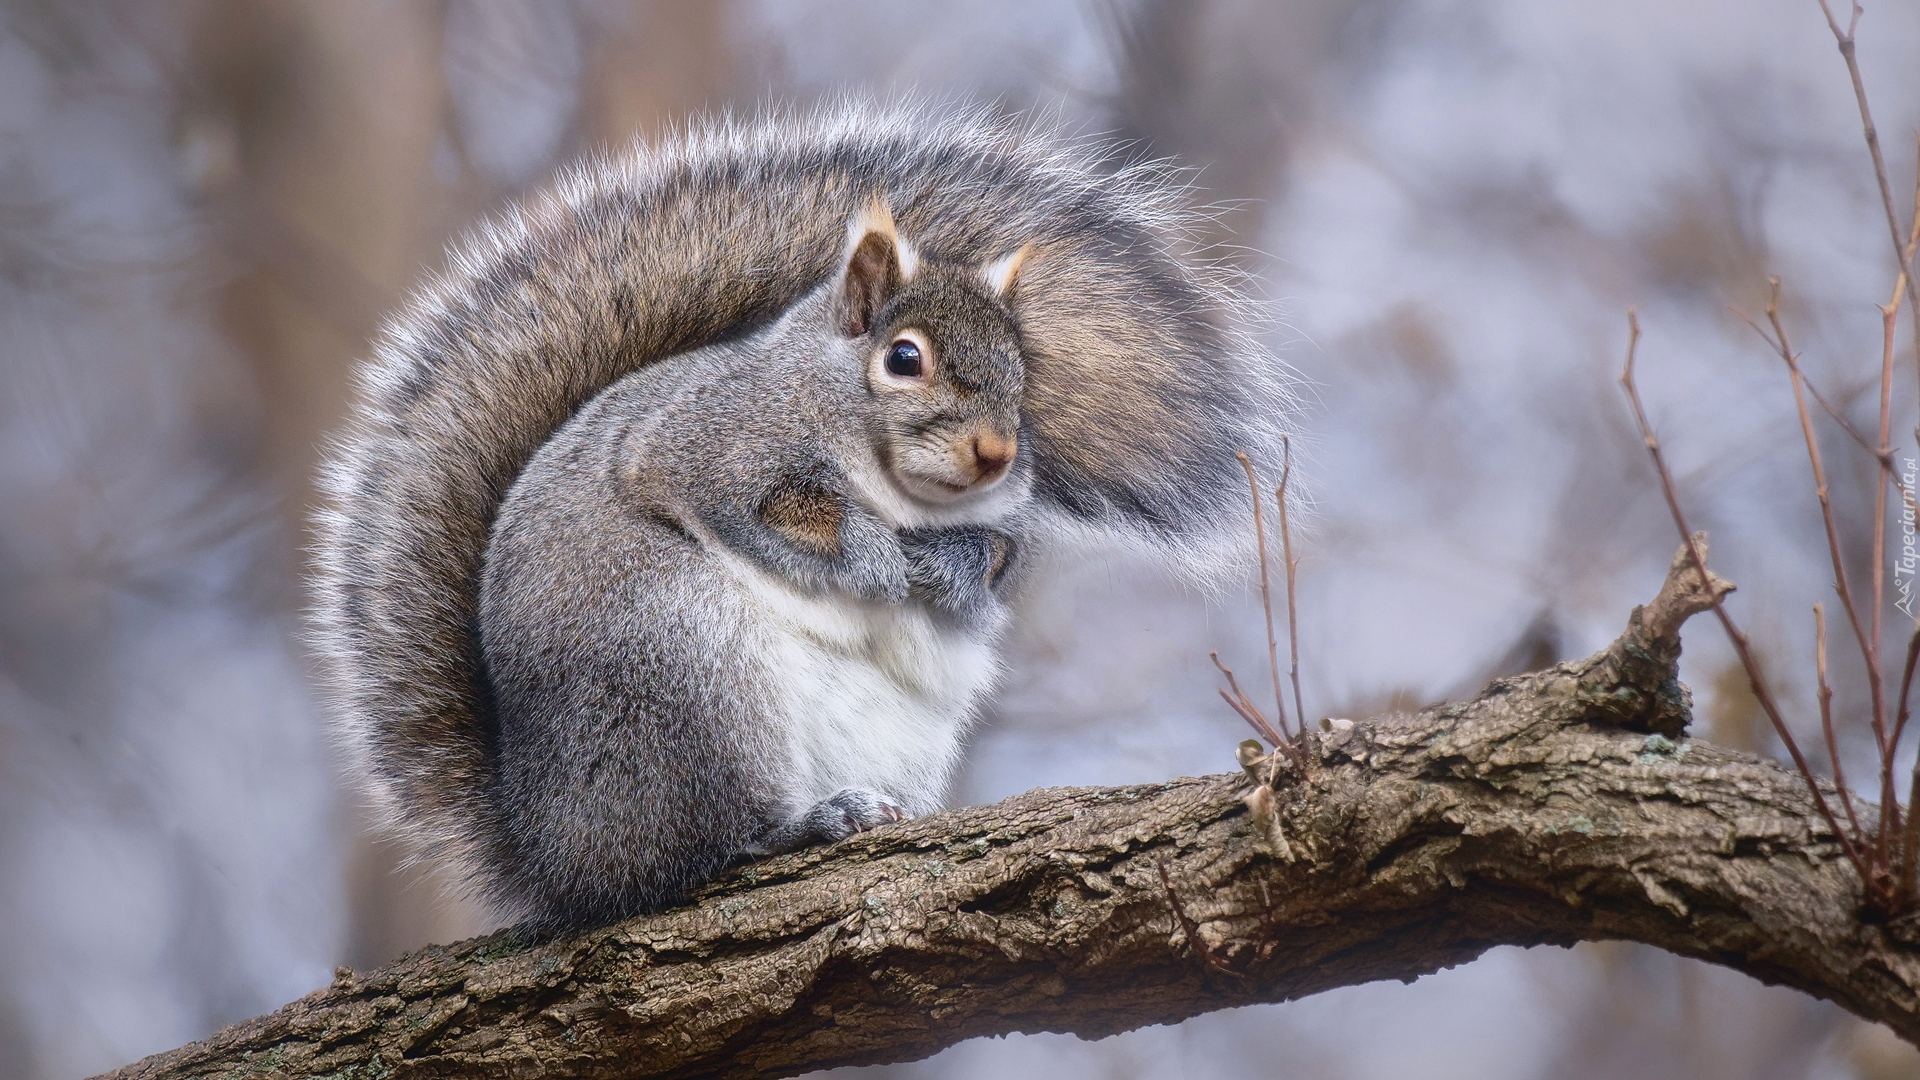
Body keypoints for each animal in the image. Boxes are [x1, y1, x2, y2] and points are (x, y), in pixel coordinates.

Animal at [314, 102, 1290, 926]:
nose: (996, 453)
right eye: (904, 358)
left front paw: (947, 566)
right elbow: (780, 515)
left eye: (1024, 373)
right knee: (701, 851)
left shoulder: (1004, 526)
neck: (897, 486)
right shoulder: (707, 446)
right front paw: (877, 559)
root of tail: (553, 853)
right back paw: (803, 822)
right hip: (677, 662)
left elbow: (994, 555)